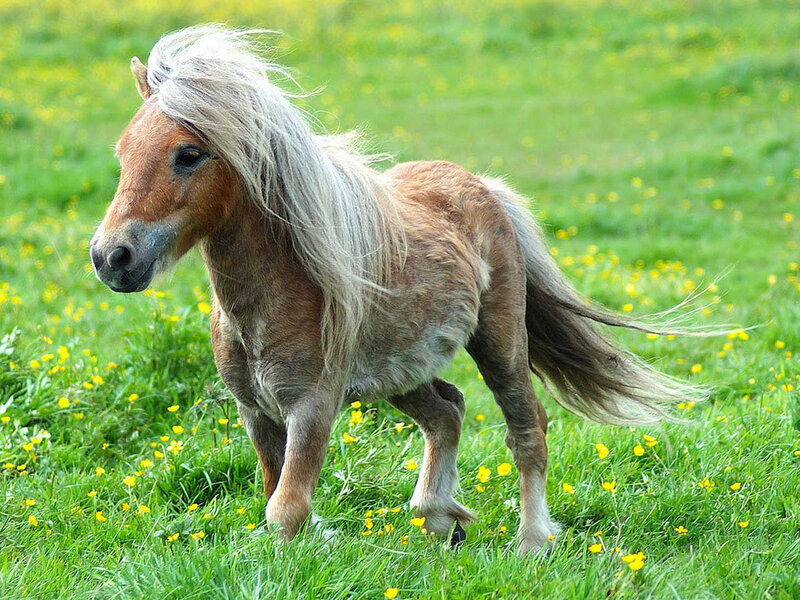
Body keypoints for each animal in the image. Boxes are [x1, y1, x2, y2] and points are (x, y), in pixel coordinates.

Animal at [90, 26, 704, 555]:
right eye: (122, 152)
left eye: (189, 154)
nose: (111, 257)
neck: (273, 296)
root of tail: (484, 187)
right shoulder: (255, 412)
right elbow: (275, 496)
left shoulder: (312, 406)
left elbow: (285, 509)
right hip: (399, 372)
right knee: (448, 411)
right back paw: (440, 519)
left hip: (500, 344)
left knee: (527, 428)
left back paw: (530, 542)